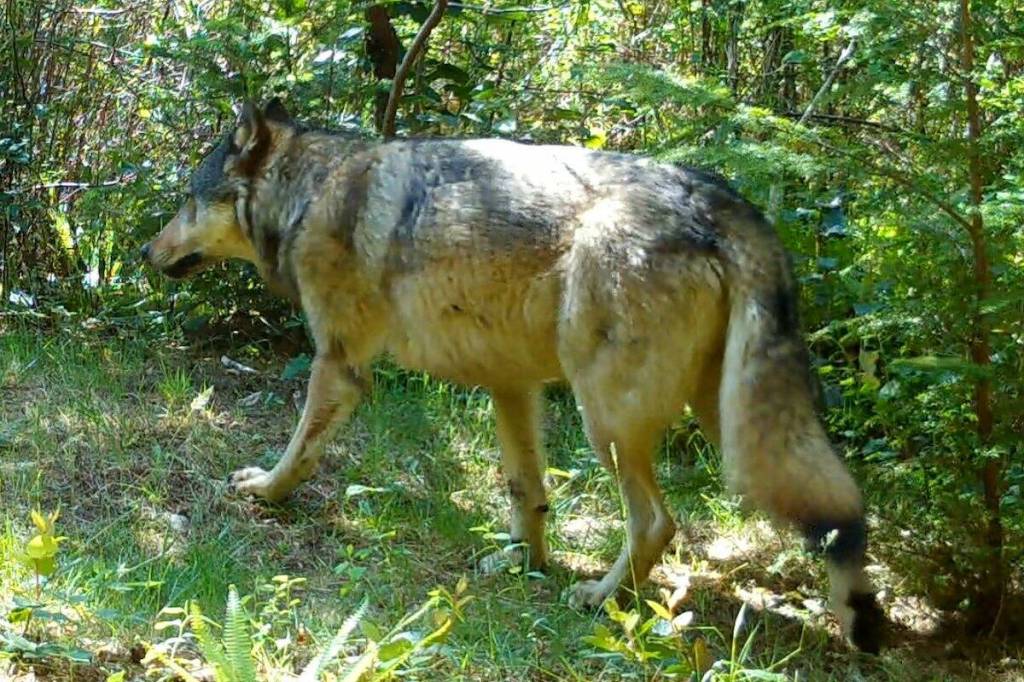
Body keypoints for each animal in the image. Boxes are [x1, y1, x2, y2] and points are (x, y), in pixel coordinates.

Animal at [142, 99, 884, 652]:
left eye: (185, 200)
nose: (147, 252)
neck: (313, 191)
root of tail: (722, 200)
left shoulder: (340, 365)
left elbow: (299, 448)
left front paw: (265, 492)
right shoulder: (511, 386)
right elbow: (526, 490)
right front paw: (522, 561)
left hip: (606, 420)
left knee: (657, 523)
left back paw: (602, 598)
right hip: (729, 420)